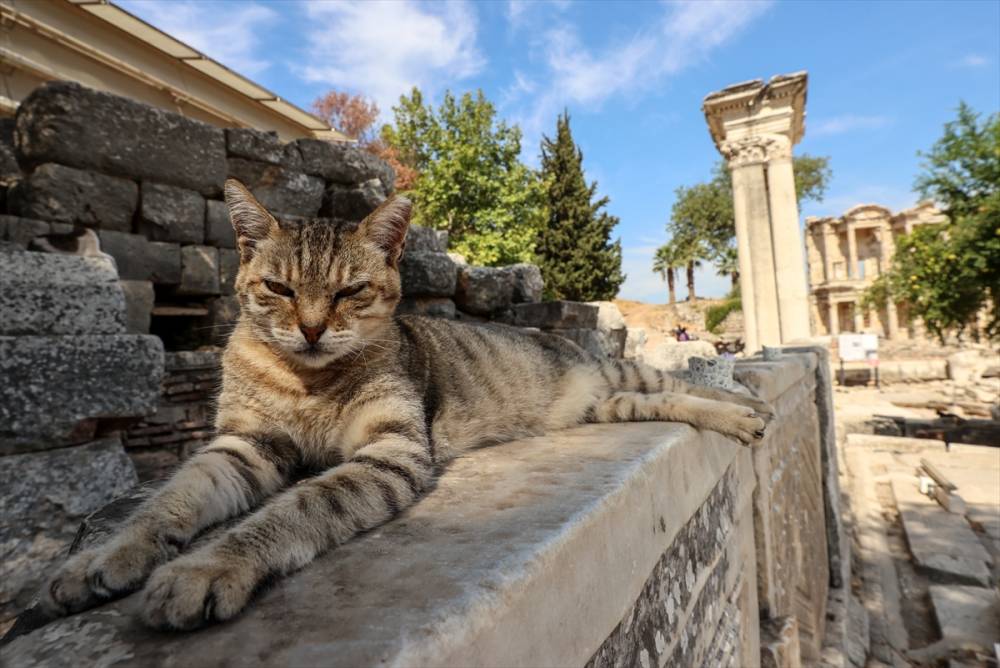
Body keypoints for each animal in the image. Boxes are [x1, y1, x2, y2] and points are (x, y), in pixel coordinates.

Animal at [39, 180, 772, 628]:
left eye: (350, 292)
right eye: (278, 288)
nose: (311, 328)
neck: (308, 380)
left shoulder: (389, 449)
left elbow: (294, 510)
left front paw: (209, 565)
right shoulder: (244, 445)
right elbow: (175, 497)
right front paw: (108, 555)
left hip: (619, 370)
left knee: (679, 383)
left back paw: (743, 404)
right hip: (605, 405)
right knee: (660, 400)